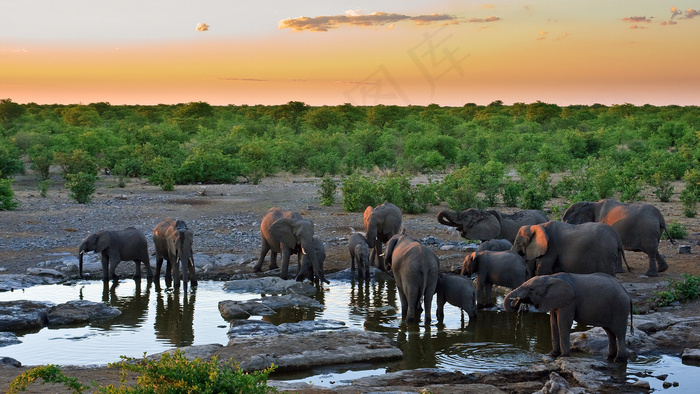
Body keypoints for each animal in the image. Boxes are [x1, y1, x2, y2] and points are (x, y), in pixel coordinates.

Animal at [504, 272, 636, 362]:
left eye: (531, 289)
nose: (517, 302)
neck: (551, 277)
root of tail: (627, 293)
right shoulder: (555, 301)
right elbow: (553, 323)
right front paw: (552, 354)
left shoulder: (570, 302)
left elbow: (563, 323)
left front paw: (563, 356)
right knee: (610, 333)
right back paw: (609, 358)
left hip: (620, 307)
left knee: (619, 333)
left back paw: (618, 360)